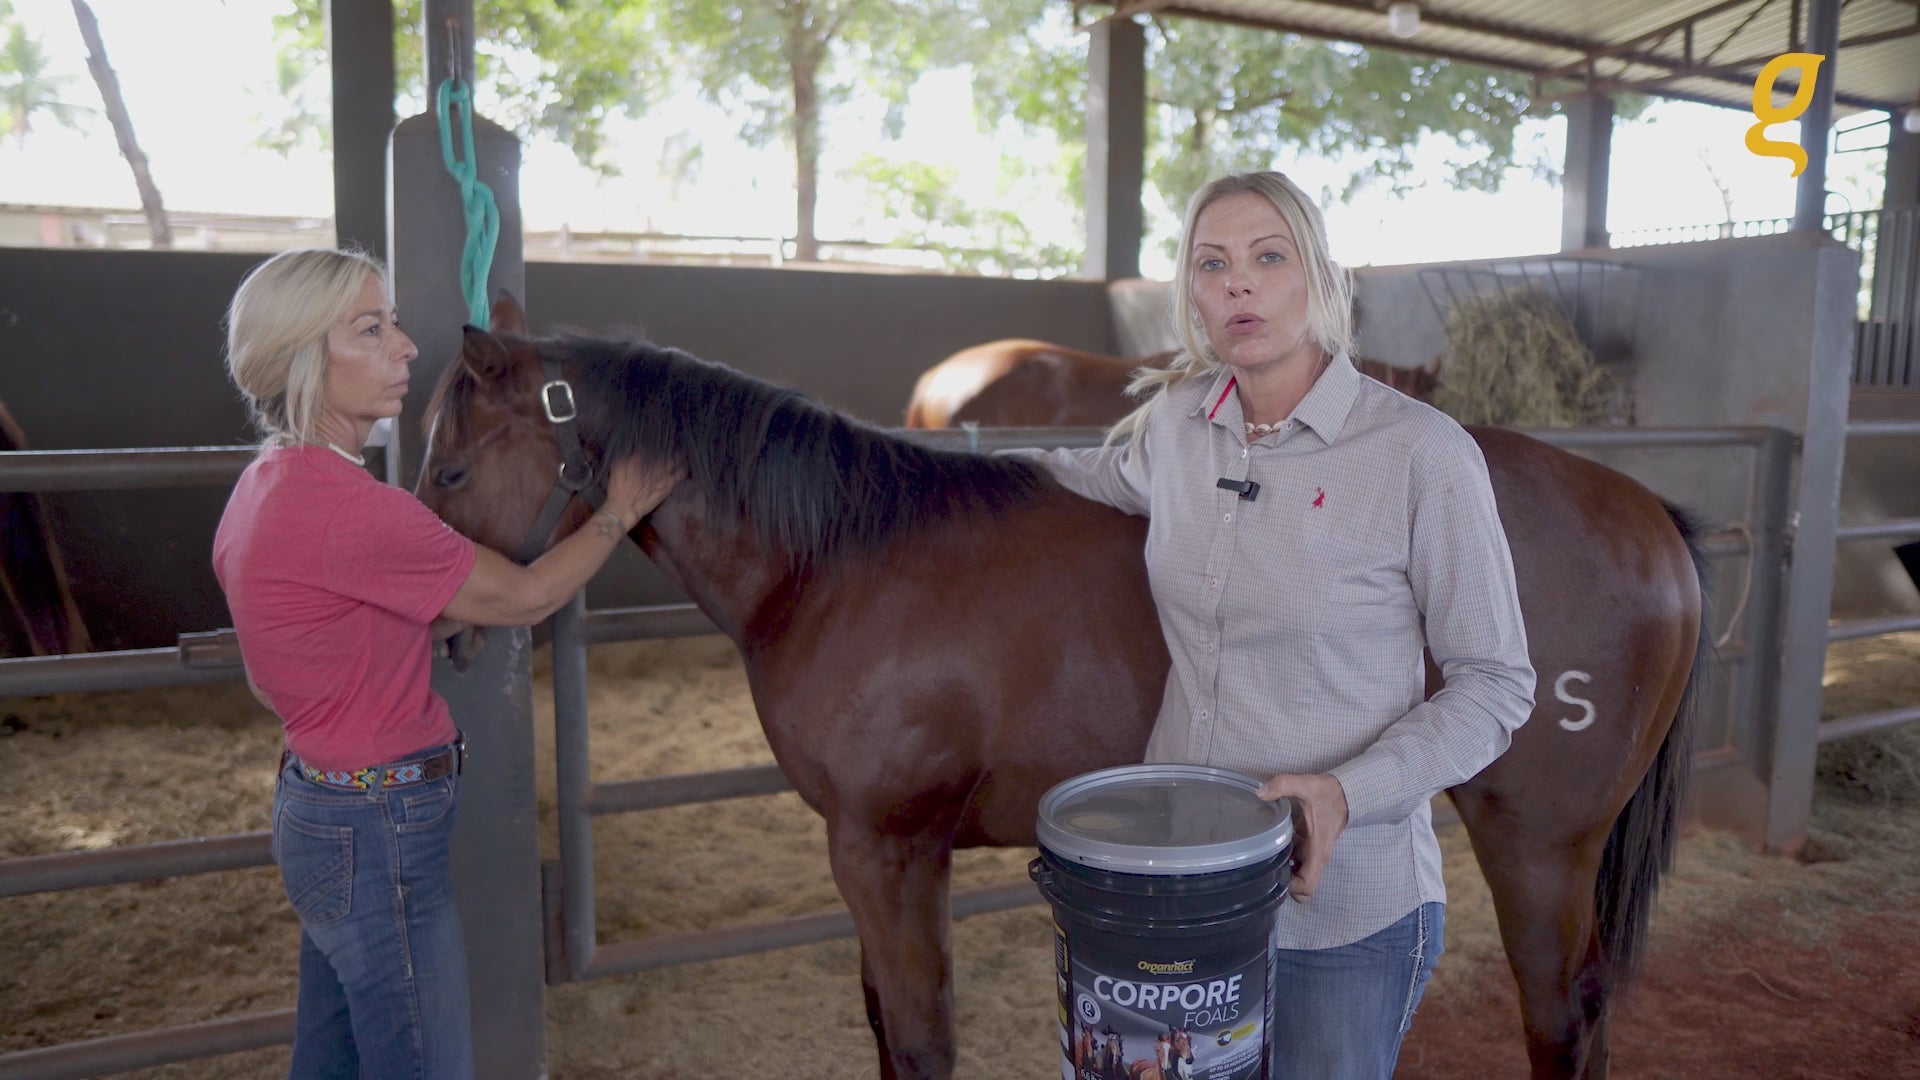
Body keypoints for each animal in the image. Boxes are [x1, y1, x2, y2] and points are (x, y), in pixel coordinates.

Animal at [417, 298, 1708, 1080]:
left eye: (450, 469)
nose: (437, 627)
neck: (839, 560)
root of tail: (1647, 515)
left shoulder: (888, 850)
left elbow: (921, 1039)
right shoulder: (873, 857)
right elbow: (887, 1029)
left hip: (1538, 847)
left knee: (1560, 1013)